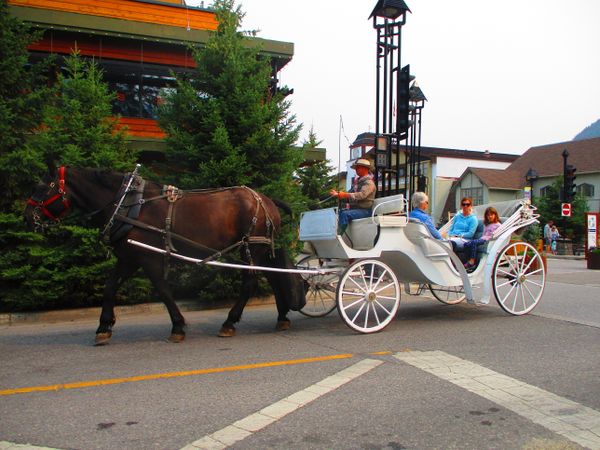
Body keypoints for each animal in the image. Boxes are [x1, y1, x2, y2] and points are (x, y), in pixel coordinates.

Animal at [23, 165, 304, 344]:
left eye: (43, 187)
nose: (27, 217)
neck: (129, 205)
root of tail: (266, 199)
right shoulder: (129, 257)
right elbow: (110, 287)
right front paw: (104, 326)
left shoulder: (148, 258)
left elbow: (163, 290)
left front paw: (178, 326)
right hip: (260, 249)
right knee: (274, 277)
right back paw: (282, 317)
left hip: (251, 247)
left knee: (251, 282)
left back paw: (229, 322)